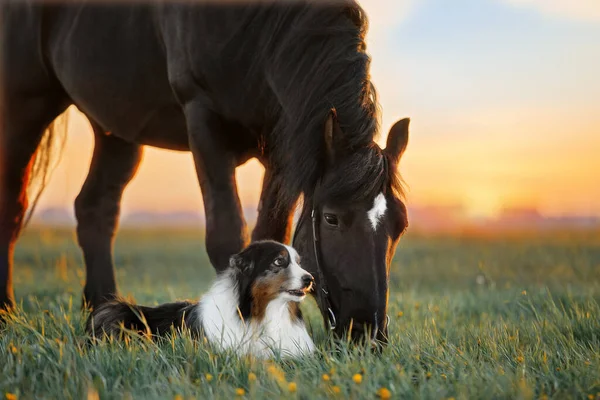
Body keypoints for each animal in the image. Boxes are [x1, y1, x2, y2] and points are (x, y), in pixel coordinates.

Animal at [0, 0, 408, 344]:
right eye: (331, 218)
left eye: (401, 225)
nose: (369, 333)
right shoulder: (203, 118)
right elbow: (227, 237)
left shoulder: (283, 143)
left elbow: (271, 235)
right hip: (25, 104)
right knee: (14, 207)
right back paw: (7, 310)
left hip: (117, 127)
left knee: (95, 209)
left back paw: (102, 309)